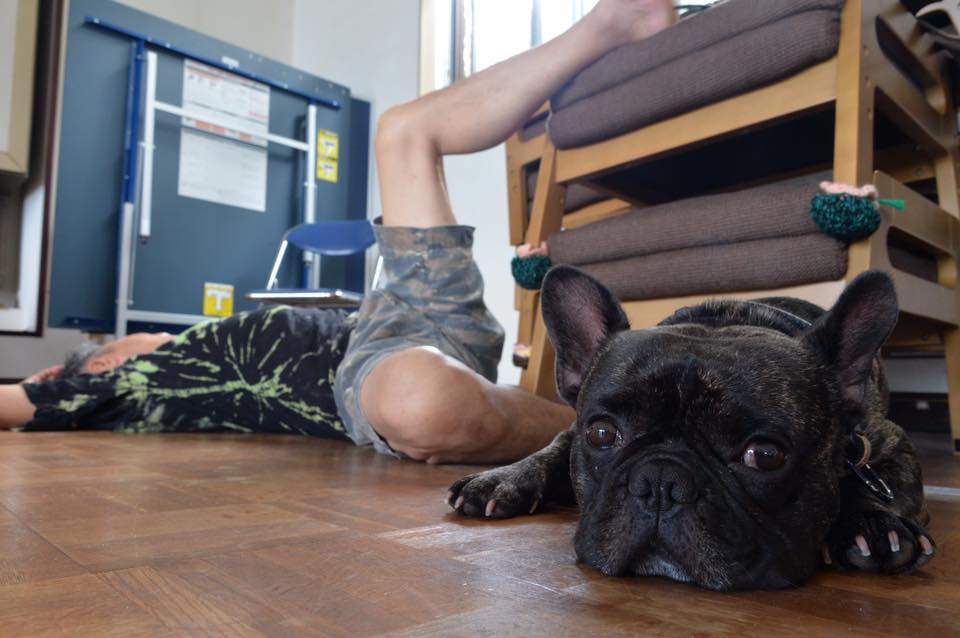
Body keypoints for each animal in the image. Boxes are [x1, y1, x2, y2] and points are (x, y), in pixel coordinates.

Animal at [447, 266, 934, 591]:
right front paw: (504, 478)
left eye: (764, 455)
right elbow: (552, 448)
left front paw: (872, 523)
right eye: (602, 434)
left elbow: (880, 481)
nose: (661, 482)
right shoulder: (573, 429)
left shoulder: (884, 441)